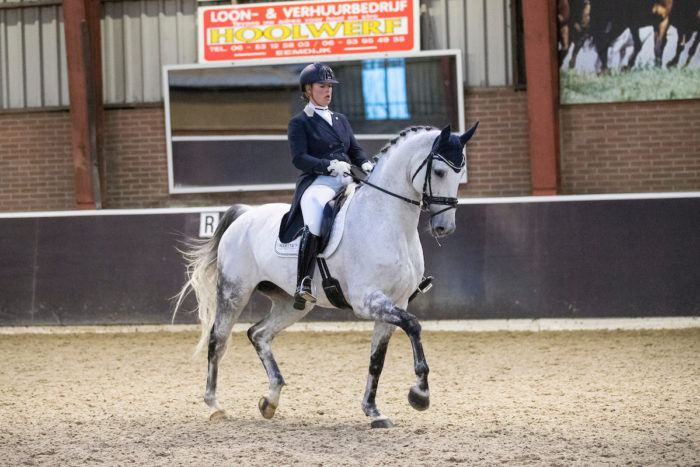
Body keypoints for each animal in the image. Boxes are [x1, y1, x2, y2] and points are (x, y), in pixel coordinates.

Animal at [173, 123, 478, 428]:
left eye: (460, 172)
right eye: (439, 172)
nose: (444, 227)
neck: (386, 221)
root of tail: (245, 215)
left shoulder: (395, 303)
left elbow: (377, 359)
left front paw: (374, 411)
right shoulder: (368, 302)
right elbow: (414, 326)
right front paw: (420, 395)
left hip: (292, 303)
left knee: (258, 333)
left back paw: (270, 400)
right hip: (234, 292)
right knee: (218, 340)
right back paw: (215, 406)